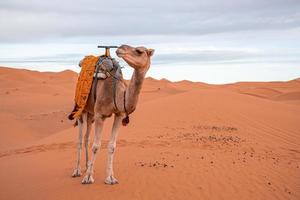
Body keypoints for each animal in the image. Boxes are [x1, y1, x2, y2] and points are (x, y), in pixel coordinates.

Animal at [71, 45, 154, 184]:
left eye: (139, 51)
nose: (120, 48)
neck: (117, 94)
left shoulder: (119, 115)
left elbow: (112, 146)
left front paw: (110, 178)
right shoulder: (100, 115)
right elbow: (96, 146)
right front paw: (88, 178)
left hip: (91, 113)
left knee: (87, 138)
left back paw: (88, 166)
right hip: (82, 110)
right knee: (80, 140)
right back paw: (77, 171)